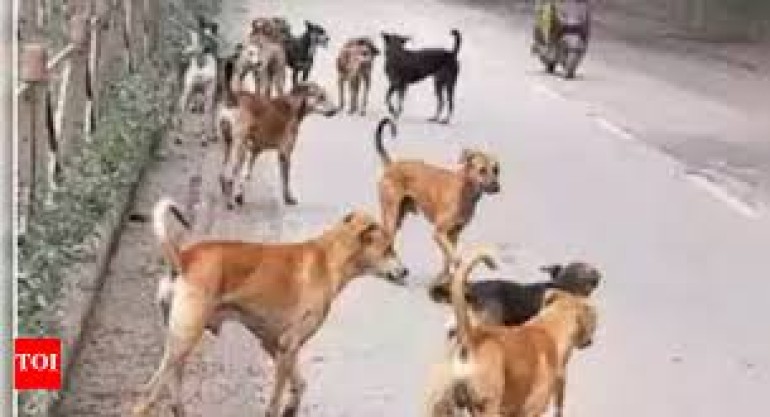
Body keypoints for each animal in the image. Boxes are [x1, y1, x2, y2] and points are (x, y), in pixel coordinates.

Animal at [134, 198, 408, 417]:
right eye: (389, 249)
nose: (406, 271)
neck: (328, 258)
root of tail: (182, 259)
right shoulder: (288, 344)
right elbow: (276, 399)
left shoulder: (274, 344)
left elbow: (299, 384)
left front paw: (292, 405)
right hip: (183, 341)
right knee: (147, 395)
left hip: (179, 343)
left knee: (174, 392)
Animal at [218, 59, 337, 208]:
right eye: (321, 97)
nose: (335, 110)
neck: (293, 106)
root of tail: (233, 98)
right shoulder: (285, 153)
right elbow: (285, 179)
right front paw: (288, 198)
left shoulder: (255, 151)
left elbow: (247, 175)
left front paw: (240, 197)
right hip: (239, 148)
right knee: (230, 176)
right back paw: (229, 203)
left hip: (227, 144)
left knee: (222, 174)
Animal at [373, 117, 500, 290]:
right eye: (482, 170)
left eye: (496, 170)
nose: (497, 187)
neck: (464, 190)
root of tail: (392, 165)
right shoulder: (439, 233)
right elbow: (455, 258)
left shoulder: (453, 233)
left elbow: (447, 258)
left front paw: (445, 278)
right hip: (392, 215)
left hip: (398, 216)